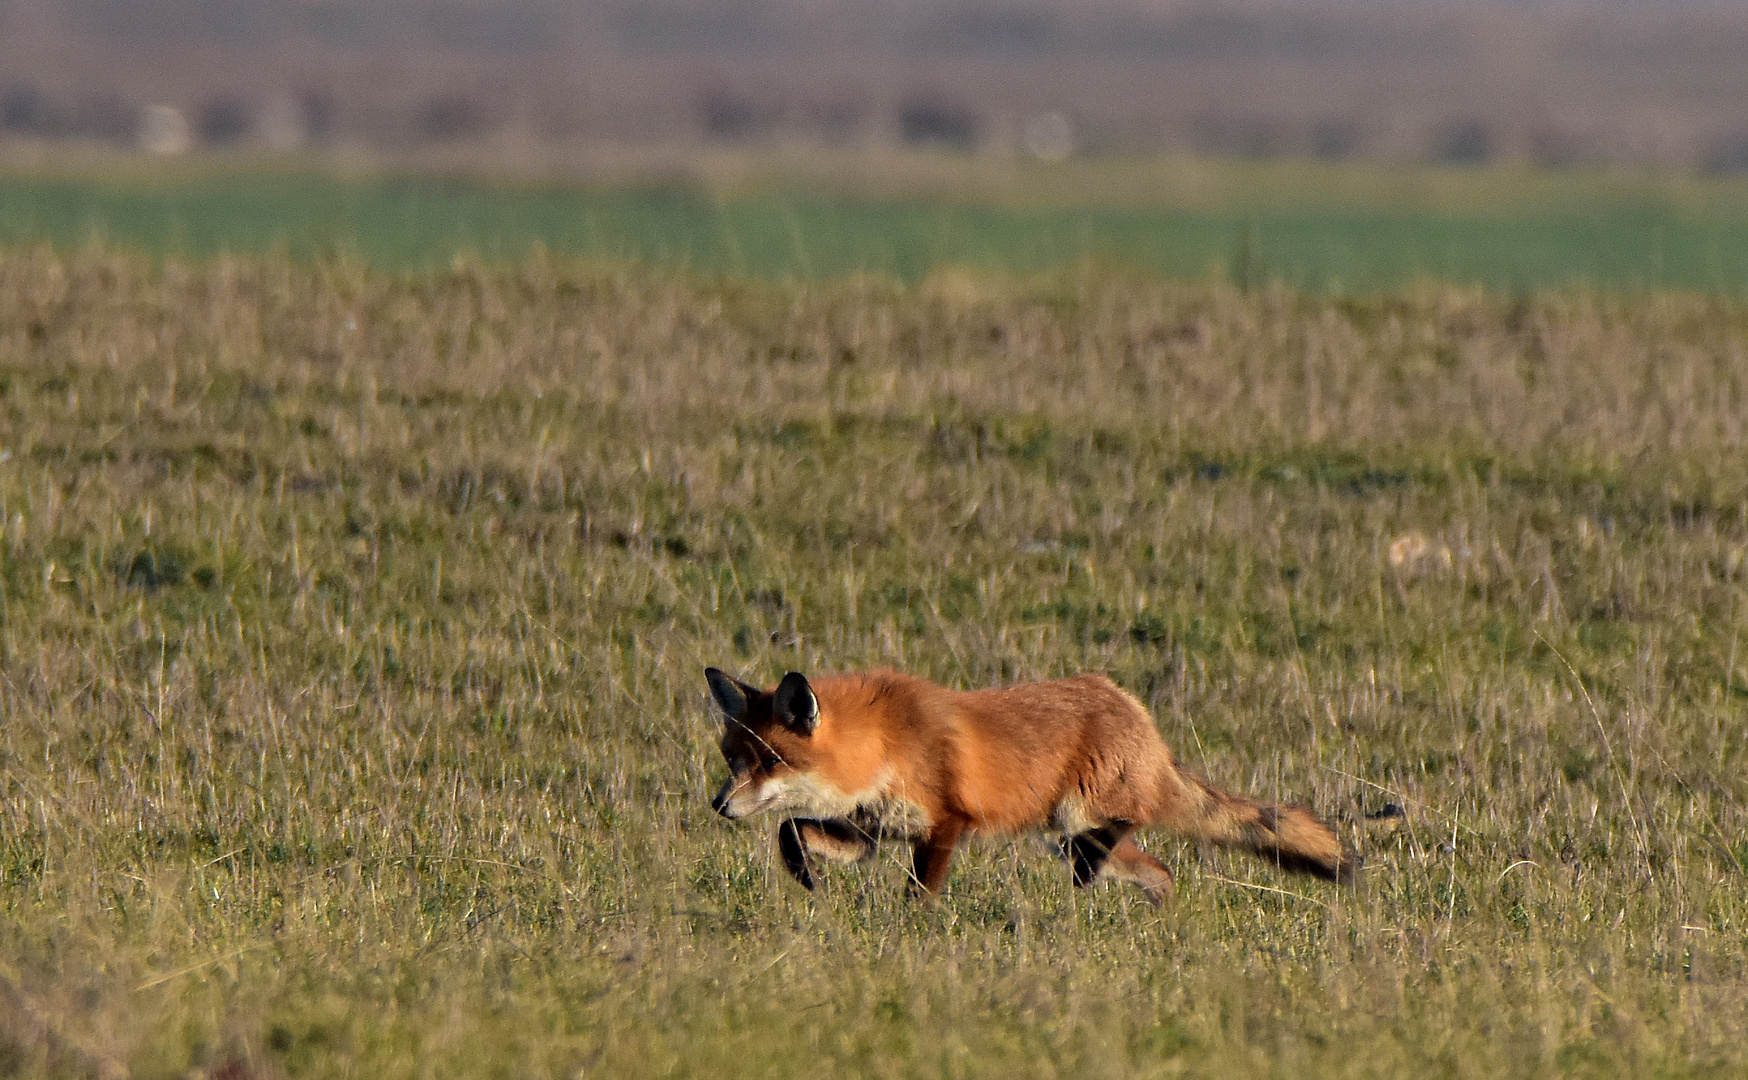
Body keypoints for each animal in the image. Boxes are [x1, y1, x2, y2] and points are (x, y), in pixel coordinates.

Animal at [702, 664, 1356, 901]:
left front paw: (914, 936)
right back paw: (1161, 918)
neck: (882, 745)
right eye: (734, 758)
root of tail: (1134, 709)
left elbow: (920, 893)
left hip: (1078, 817)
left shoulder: (946, 822)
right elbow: (790, 829)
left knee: (1133, 824)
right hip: (1067, 834)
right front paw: (805, 877)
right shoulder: (869, 831)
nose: (719, 805)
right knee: (1161, 872)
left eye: (768, 761)